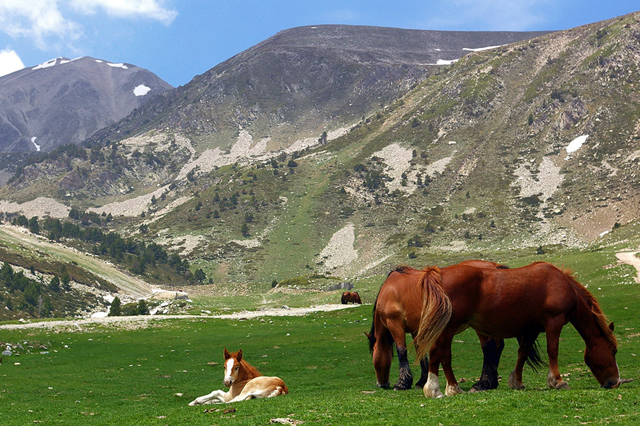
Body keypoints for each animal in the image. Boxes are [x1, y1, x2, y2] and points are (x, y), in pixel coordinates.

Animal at [368, 258, 516, 392]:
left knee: (488, 347)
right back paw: (491, 382)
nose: (381, 384)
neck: (389, 289)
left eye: (374, 355)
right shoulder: (417, 329)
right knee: (497, 347)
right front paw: (421, 381)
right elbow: (421, 352)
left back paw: (482, 384)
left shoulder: (395, 324)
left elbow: (401, 351)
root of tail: (495, 266)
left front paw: (402, 383)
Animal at [412, 262, 624, 398]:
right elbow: (553, 350)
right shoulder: (553, 322)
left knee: (440, 353)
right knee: (440, 353)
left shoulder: (532, 328)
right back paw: (441, 389)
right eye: (613, 351)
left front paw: (517, 382)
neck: (562, 284)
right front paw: (557, 381)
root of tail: (438, 274)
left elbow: (523, 353)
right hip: (449, 326)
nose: (615, 382)